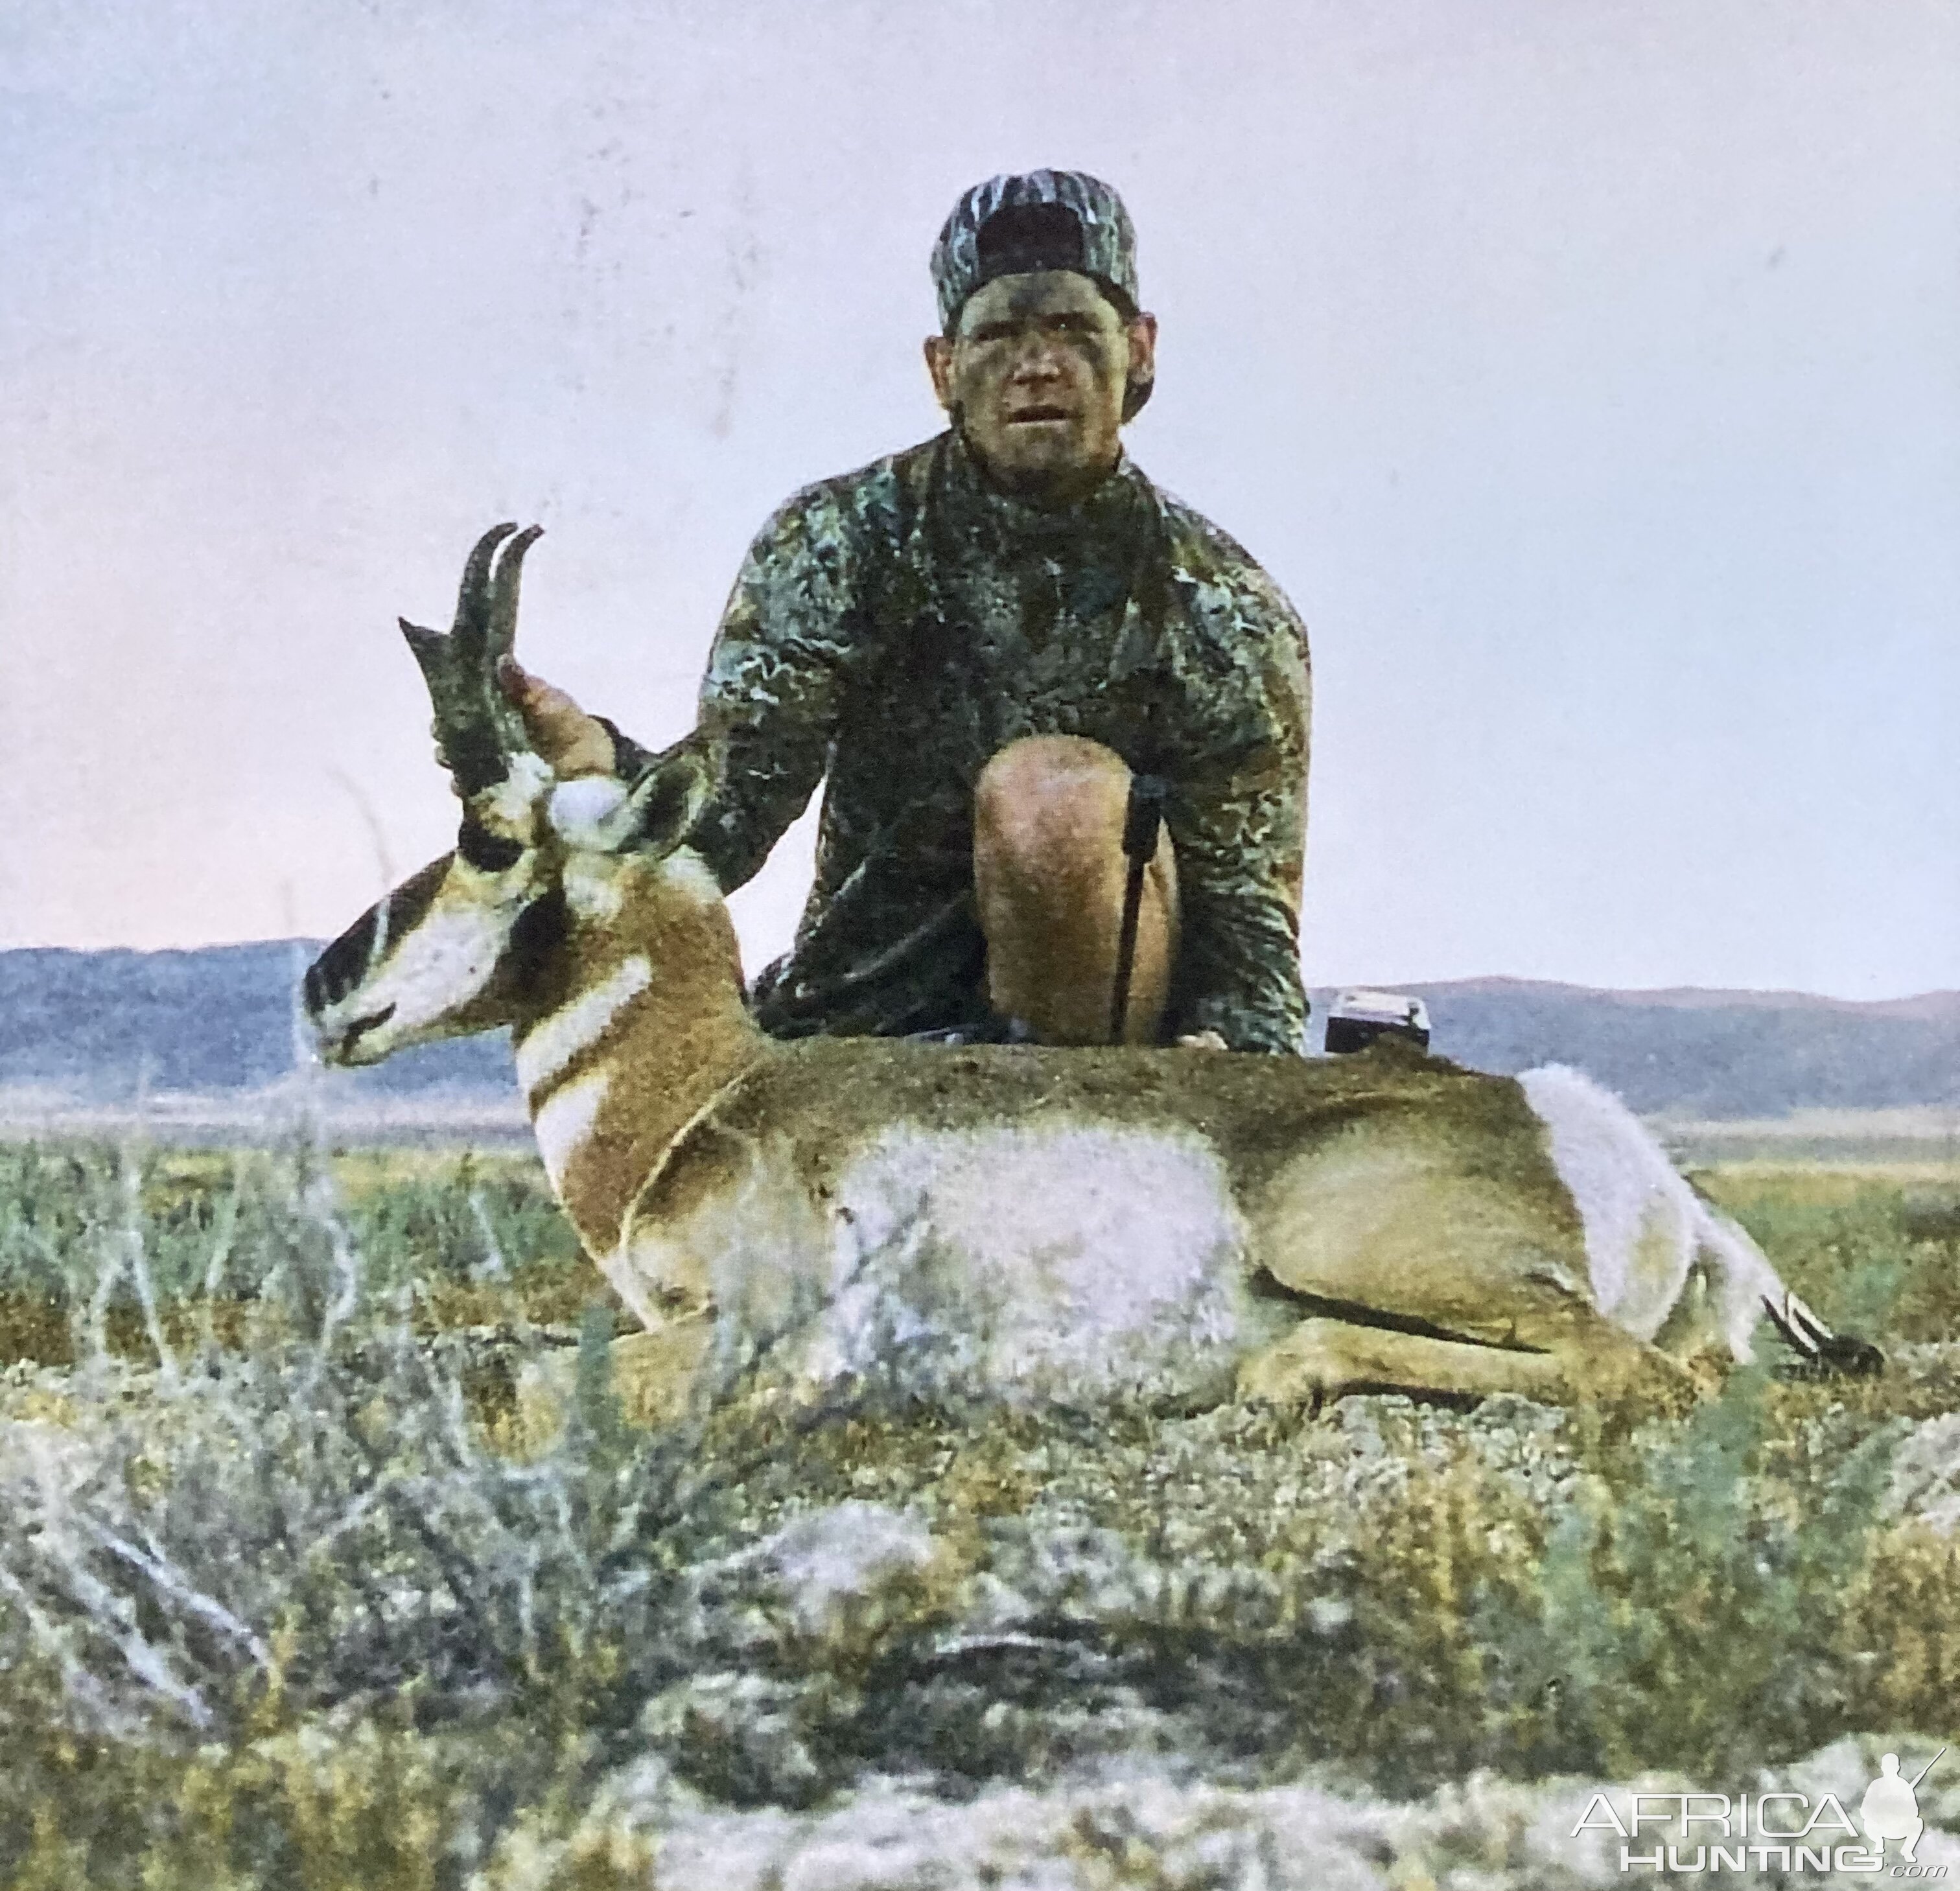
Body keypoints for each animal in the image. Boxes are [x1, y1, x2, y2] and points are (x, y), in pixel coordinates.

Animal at [305, 525, 1882, 1411]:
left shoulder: (751, 1328)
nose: (321, 994)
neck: (712, 1101)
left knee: (1635, 1373)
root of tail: (1599, 1135)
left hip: (1355, 1241)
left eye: (484, 834)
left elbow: (532, 1383)